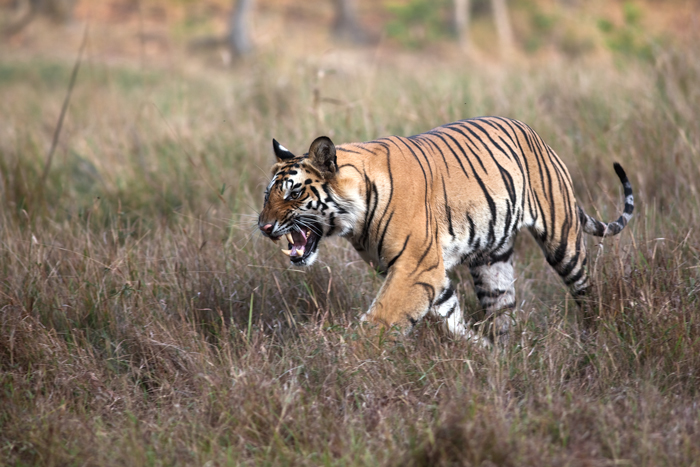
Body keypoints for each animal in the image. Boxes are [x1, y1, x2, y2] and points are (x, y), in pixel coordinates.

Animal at [258, 117, 636, 342]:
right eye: (267, 194)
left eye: (293, 193)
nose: (263, 227)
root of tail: (534, 134)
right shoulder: (429, 271)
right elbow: (451, 317)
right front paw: (477, 349)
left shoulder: (415, 265)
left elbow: (383, 318)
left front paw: (349, 358)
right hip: (492, 260)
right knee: (504, 309)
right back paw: (506, 355)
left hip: (563, 238)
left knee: (586, 289)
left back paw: (597, 334)